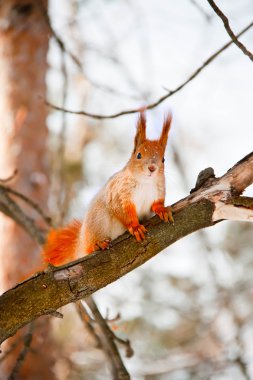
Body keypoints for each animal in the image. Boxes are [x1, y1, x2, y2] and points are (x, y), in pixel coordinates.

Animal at [44, 113, 174, 266]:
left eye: (163, 159)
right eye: (139, 155)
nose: (152, 168)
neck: (145, 183)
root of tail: (80, 241)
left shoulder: (158, 192)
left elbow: (156, 204)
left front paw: (162, 210)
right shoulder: (119, 195)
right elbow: (123, 211)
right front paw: (135, 227)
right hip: (98, 221)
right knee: (90, 246)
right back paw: (98, 244)